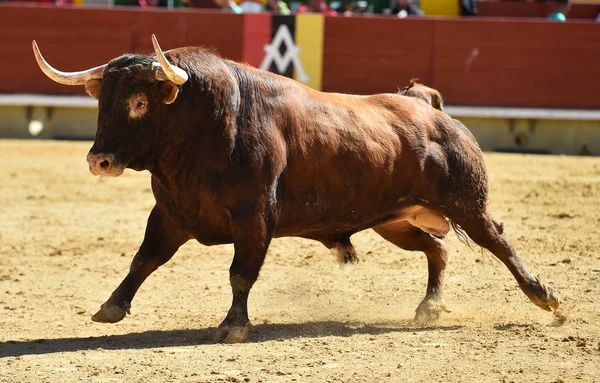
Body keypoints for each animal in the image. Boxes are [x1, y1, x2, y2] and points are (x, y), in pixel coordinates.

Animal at [32, 34, 556, 344]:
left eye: (139, 102)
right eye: (102, 102)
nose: (98, 160)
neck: (206, 127)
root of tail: (426, 107)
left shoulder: (254, 218)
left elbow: (240, 274)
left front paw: (234, 327)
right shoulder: (170, 215)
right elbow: (144, 260)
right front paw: (111, 308)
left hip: (467, 203)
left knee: (498, 242)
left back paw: (545, 298)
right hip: (394, 220)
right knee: (436, 250)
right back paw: (428, 309)